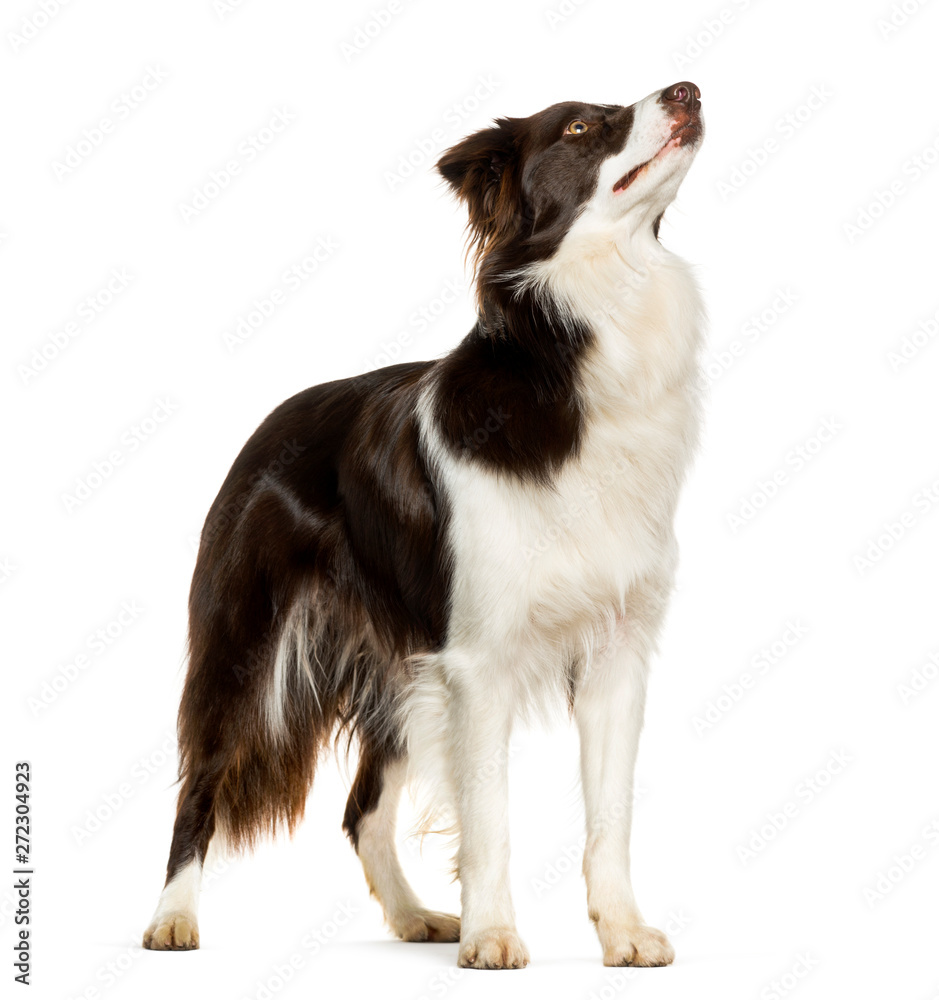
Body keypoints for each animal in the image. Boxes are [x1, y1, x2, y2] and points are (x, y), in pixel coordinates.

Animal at [143, 80, 704, 968]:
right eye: (582, 125)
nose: (688, 90)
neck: (585, 336)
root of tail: (268, 421)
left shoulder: (616, 649)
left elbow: (609, 815)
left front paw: (620, 932)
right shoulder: (477, 660)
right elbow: (489, 816)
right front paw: (494, 937)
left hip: (401, 672)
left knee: (361, 808)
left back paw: (413, 918)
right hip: (243, 641)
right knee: (201, 782)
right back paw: (172, 919)